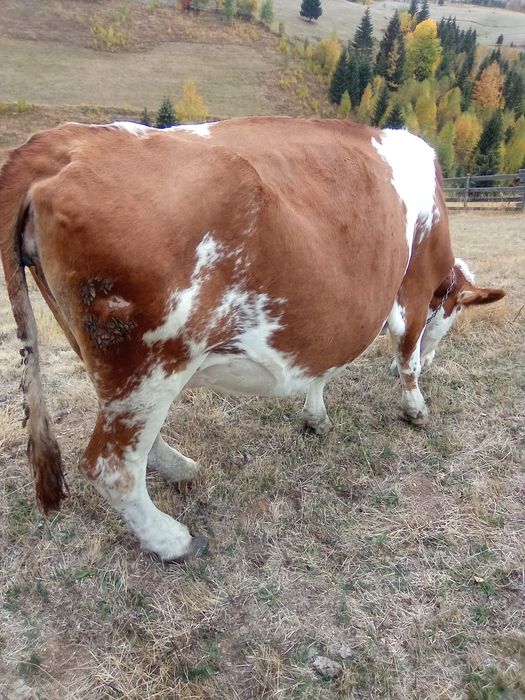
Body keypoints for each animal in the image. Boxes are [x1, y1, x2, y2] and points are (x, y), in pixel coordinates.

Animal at [0, 117, 505, 561]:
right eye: (452, 313)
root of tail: (61, 141)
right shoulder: (415, 290)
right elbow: (407, 357)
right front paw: (415, 408)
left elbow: (323, 367)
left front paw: (316, 416)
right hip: (152, 359)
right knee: (111, 467)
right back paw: (173, 540)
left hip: (105, 356)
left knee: (134, 437)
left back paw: (180, 469)